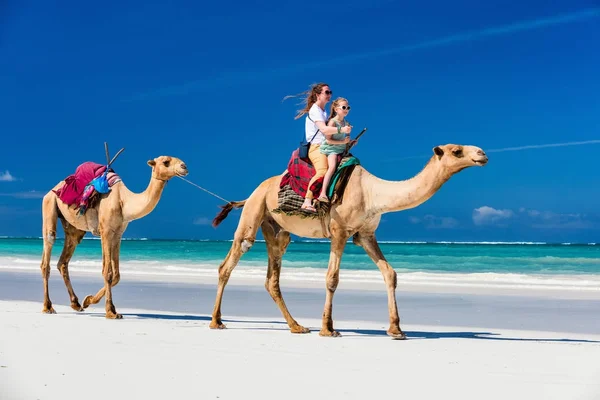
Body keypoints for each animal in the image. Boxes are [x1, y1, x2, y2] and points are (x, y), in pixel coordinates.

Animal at [39, 155, 188, 318]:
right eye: (166, 162)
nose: (184, 166)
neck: (124, 201)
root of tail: (52, 190)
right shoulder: (105, 231)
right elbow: (107, 272)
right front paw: (110, 311)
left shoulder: (118, 234)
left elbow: (116, 275)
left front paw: (88, 300)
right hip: (49, 204)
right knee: (48, 249)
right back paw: (47, 307)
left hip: (73, 228)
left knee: (64, 260)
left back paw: (76, 304)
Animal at [211, 144, 488, 338]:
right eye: (456, 150)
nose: (482, 153)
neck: (373, 193)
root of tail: (251, 193)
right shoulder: (339, 231)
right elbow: (332, 278)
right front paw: (328, 328)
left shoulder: (365, 234)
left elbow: (390, 273)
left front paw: (396, 329)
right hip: (254, 211)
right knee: (232, 259)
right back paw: (216, 321)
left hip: (277, 230)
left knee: (272, 277)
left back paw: (297, 326)